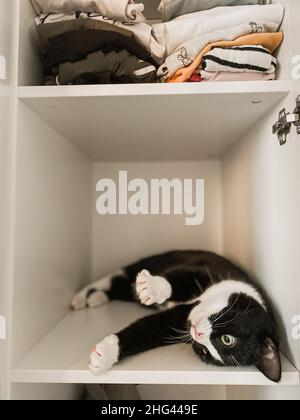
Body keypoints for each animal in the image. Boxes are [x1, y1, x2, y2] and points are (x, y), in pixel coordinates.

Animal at [71, 251, 282, 382]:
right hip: (154, 259)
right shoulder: (205, 271)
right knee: (116, 277)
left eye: (205, 352)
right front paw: (151, 288)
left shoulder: (179, 319)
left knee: (118, 287)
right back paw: (80, 297)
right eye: (228, 339)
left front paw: (104, 355)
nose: (197, 334)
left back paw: (96, 298)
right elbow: (178, 278)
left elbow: (149, 329)